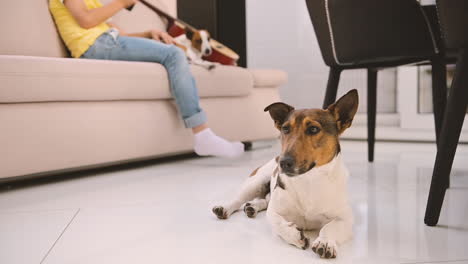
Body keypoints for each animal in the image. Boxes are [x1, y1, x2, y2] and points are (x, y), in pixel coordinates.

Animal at [211, 89, 358, 258]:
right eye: (286, 129)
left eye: (314, 129)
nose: (283, 162)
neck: (309, 179)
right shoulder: (275, 210)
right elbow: (276, 222)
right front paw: (294, 235)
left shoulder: (345, 218)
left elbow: (330, 227)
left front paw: (325, 242)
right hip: (256, 181)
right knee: (239, 199)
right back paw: (226, 208)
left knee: (264, 199)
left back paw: (252, 206)